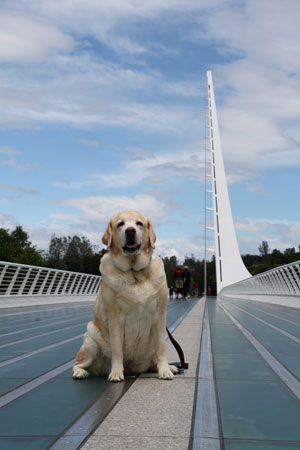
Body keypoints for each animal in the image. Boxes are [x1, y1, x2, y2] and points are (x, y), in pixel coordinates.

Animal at [71, 213, 177, 382]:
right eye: (120, 224)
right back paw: (80, 372)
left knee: (152, 360)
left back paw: (170, 367)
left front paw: (165, 370)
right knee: (78, 362)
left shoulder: (159, 315)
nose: (130, 231)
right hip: (91, 339)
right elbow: (117, 349)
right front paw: (116, 373)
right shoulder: (115, 317)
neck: (134, 272)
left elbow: (161, 347)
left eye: (139, 223)